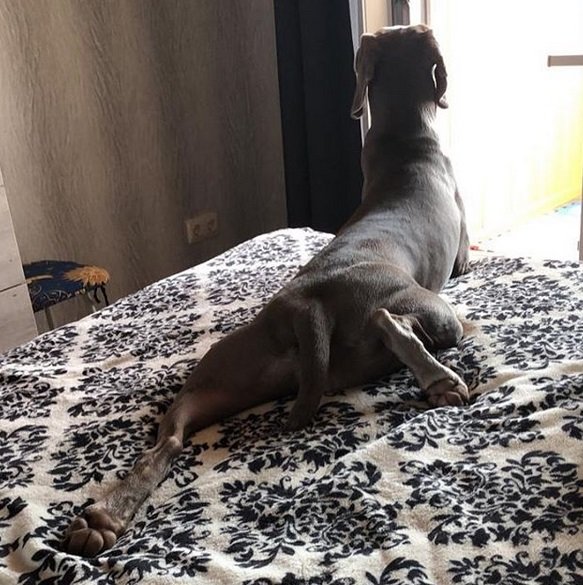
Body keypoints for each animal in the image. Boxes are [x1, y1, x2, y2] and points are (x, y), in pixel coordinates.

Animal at [62, 25, 470, 556]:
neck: (406, 140)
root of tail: (306, 304)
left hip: (225, 376)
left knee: (167, 441)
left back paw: (105, 517)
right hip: (429, 311)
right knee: (398, 322)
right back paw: (439, 380)